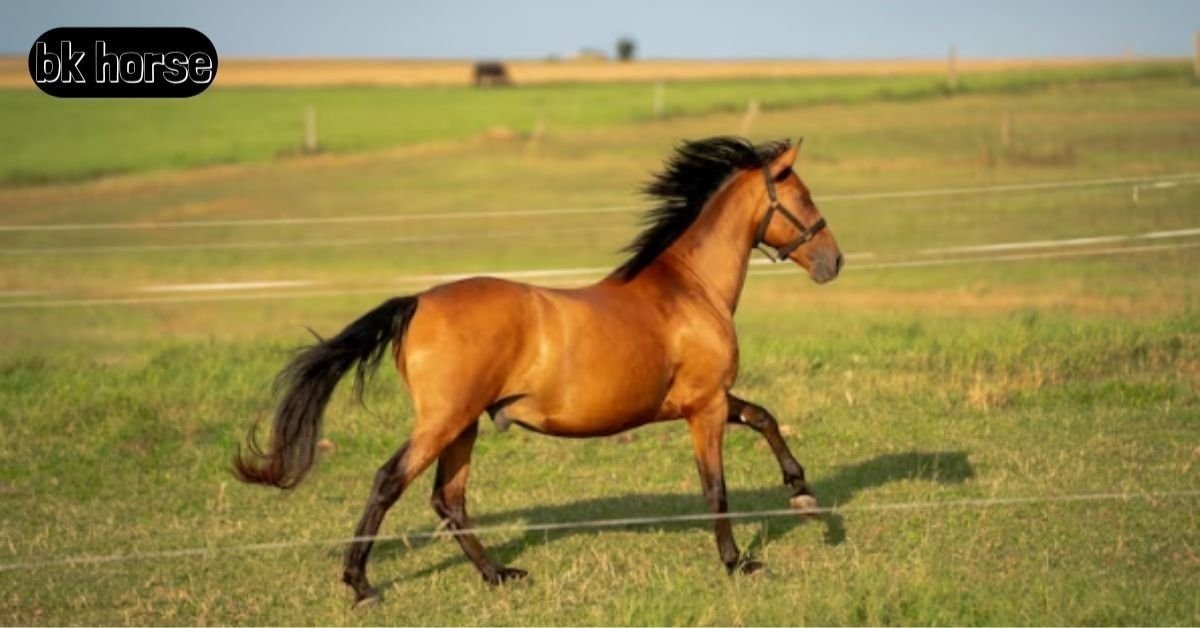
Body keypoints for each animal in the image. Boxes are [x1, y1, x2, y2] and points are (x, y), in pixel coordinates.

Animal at [234, 136, 843, 605]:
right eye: (804, 197)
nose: (833, 262)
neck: (689, 290)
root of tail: (417, 303)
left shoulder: (709, 399)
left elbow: (764, 417)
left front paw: (803, 495)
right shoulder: (705, 407)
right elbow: (715, 486)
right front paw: (739, 562)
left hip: (465, 425)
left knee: (448, 498)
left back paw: (498, 574)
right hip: (443, 421)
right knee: (390, 482)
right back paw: (360, 585)